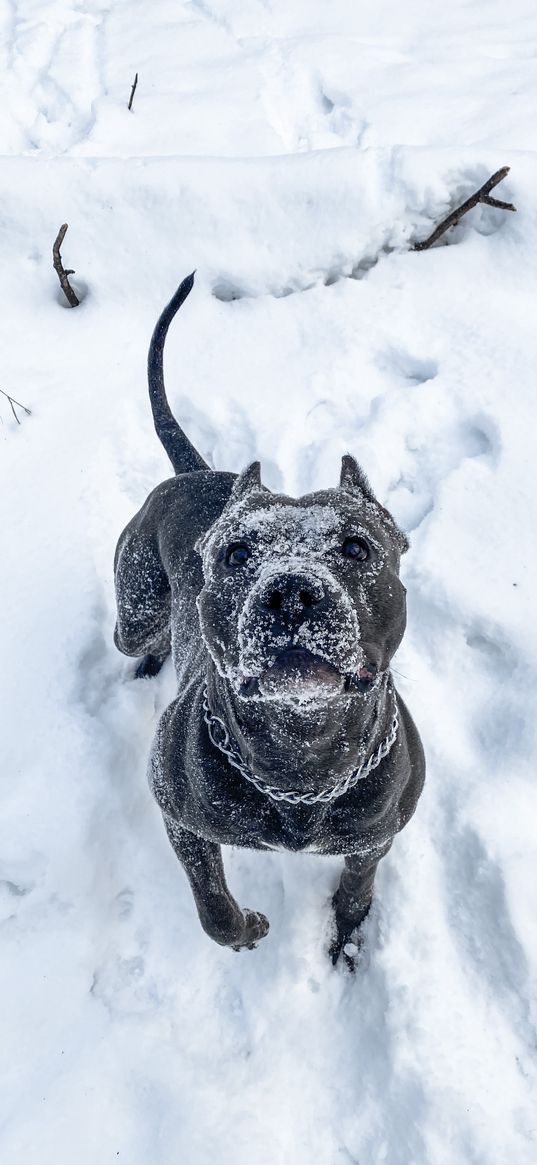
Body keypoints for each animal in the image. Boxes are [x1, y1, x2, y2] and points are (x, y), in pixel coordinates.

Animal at [112, 270, 421, 964]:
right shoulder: (180, 817)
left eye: (356, 547)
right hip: (133, 612)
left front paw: (349, 940)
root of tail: (198, 474)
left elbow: (357, 888)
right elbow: (212, 910)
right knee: (137, 636)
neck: (302, 760)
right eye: (236, 553)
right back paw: (149, 662)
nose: (292, 593)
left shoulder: (375, 838)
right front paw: (246, 928)